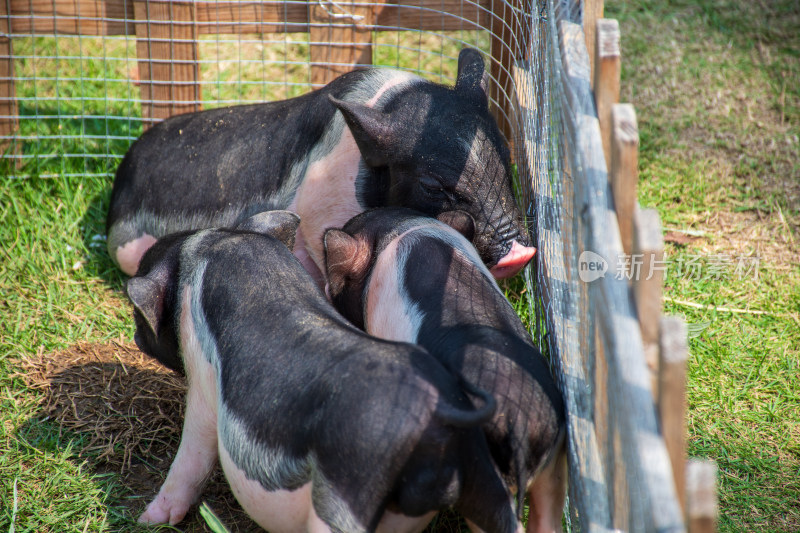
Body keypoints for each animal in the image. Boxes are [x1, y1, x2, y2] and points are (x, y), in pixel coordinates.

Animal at [104, 47, 532, 284]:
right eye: (432, 184)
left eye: (506, 155)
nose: (520, 253)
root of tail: (124, 170)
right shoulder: (316, 214)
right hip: (124, 246)